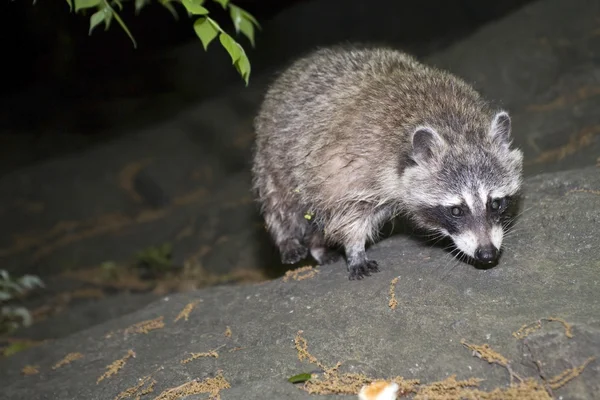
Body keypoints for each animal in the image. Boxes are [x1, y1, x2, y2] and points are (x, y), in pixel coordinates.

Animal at [251, 44, 524, 282]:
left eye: (496, 203)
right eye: (456, 210)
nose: (487, 253)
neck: (454, 127)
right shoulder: (349, 163)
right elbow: (346, 210)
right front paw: (354, 248)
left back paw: (318, 246)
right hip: (274, 152)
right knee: (281, 201)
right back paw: (287, 239)